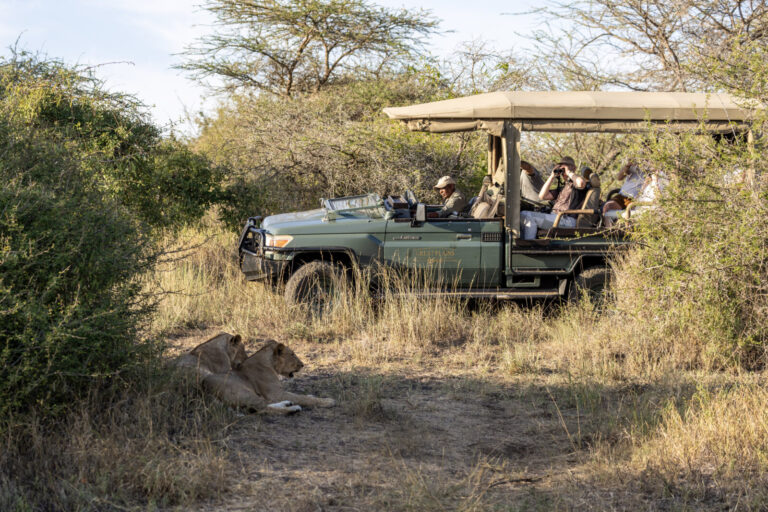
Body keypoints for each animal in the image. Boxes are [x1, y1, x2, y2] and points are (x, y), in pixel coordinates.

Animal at [202, 339, 335, 414]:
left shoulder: (277, 394)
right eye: (292, 354)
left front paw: (311, 395)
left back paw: (288, 403)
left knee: (265, 404)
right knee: (262, 408)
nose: (302, 364)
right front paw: (328, 401)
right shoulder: (275, 394)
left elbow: (299, 395)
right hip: (244, 392)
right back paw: (293, 409)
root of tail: (203, 391)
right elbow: (303, 398)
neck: (269, 362)